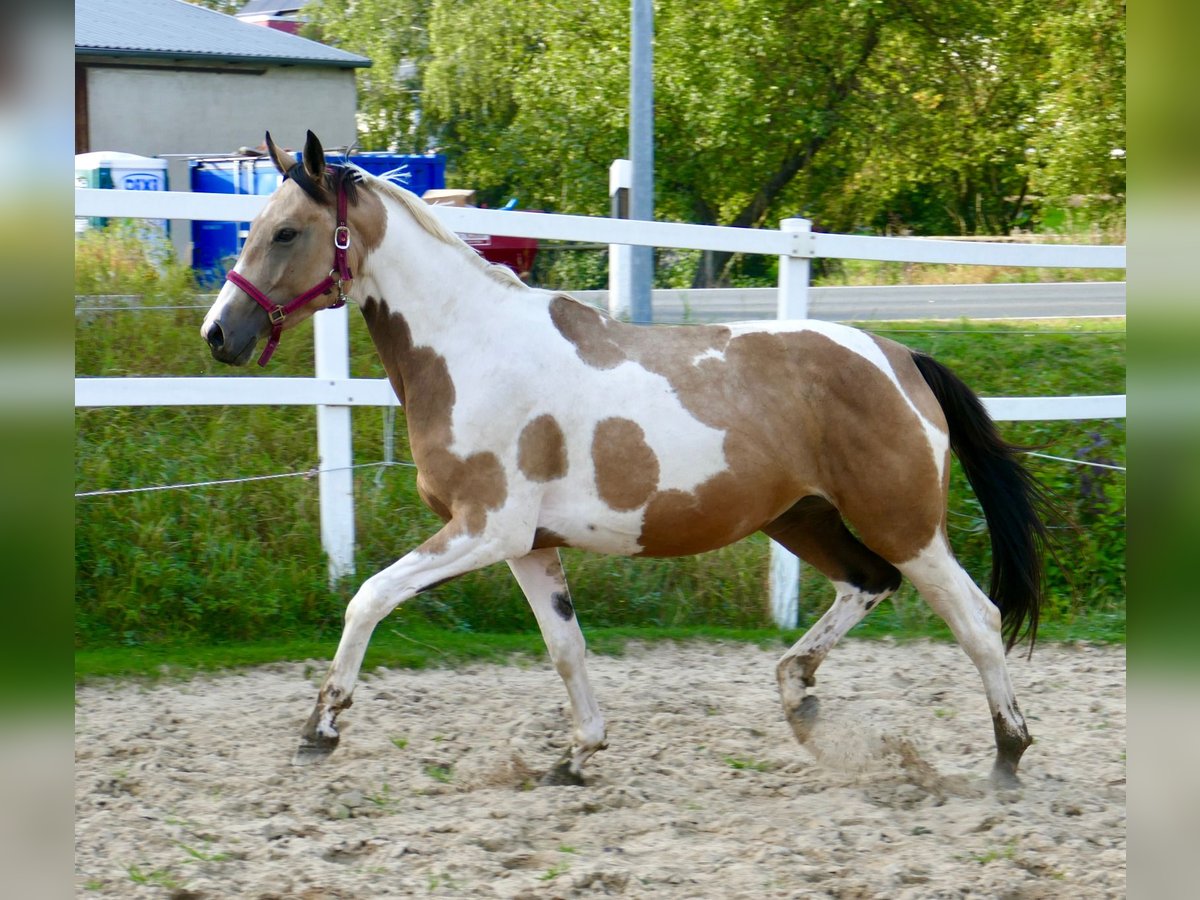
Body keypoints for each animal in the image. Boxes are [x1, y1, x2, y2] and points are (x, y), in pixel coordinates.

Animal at [201, 130, 1046, 787]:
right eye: (251, 227)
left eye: (285, 232)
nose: (219, 334)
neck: (472, 347)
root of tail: (902, 358)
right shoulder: (528, 547)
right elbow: (566, 650)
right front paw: (576, 757)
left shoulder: (485, 529)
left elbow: (368, 597)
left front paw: (320, 729)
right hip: (802, 520)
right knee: (867, 586)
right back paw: (798, 695)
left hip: (904, 524)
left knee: (977, 620)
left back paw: (1007, 756)